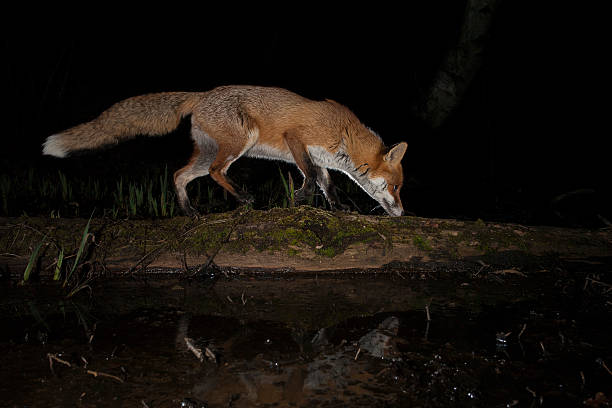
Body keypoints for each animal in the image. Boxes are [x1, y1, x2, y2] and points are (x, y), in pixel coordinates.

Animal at [41, 86, 406, 217]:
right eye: (396, 187)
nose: (402, 213)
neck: (345, 135)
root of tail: (202, 95)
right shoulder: (297, 138)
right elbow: (312, 175)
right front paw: (301, 198)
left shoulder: (319, 157)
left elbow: (326, 182)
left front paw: (339, 207)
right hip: (238, 143)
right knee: (218, 173)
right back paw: (243, 198)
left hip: (206, 155)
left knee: (179, 175)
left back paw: (189, 211)